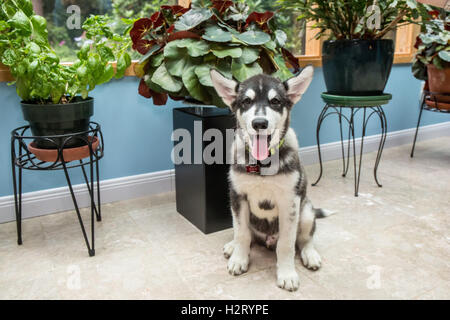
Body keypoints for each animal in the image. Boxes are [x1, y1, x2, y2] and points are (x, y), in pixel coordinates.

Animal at [209, 66, 332, 292]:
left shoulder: (289, 202)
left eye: (275, 101)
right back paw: (232, 247)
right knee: (246, 234)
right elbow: (241, 233)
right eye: (246, 102)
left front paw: (287, 274)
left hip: (306, 212)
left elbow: (286, 244)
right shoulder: (237, 197)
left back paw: (310, 255)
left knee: (305, 239)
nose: (259, 123)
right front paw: (239, 259)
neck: (261, 164)